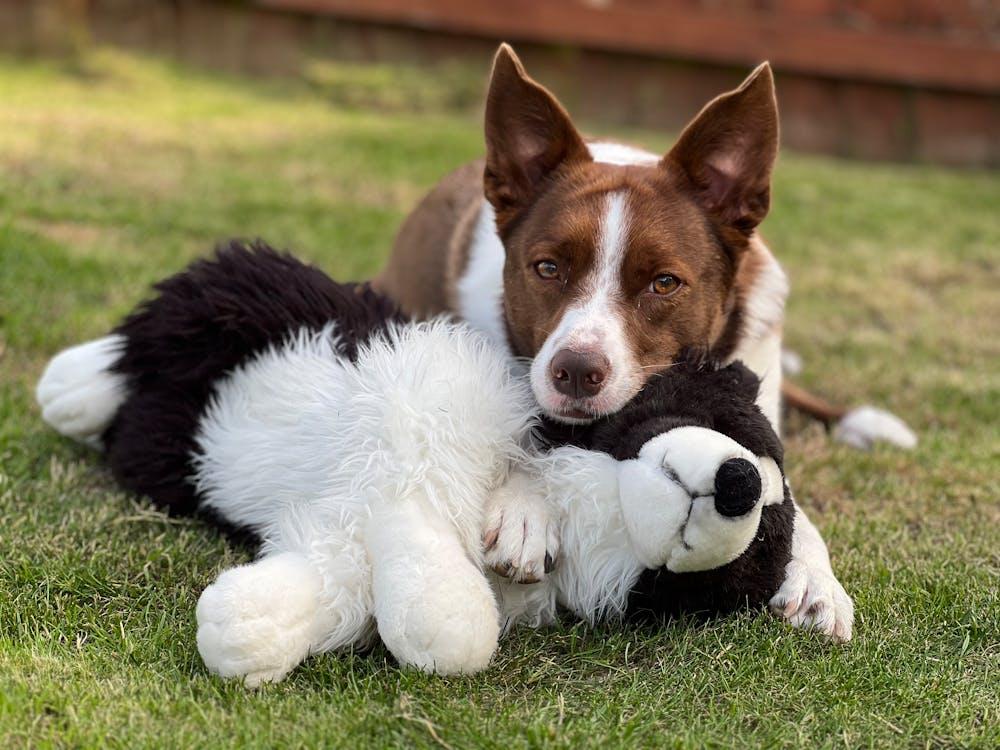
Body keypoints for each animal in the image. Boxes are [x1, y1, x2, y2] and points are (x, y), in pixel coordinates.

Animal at [374, 44, 908, 640]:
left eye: (664, 283)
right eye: (548, 268)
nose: (576, 371)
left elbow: (793, 501)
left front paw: (815, 577)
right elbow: (517, 426)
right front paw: (524, 505)